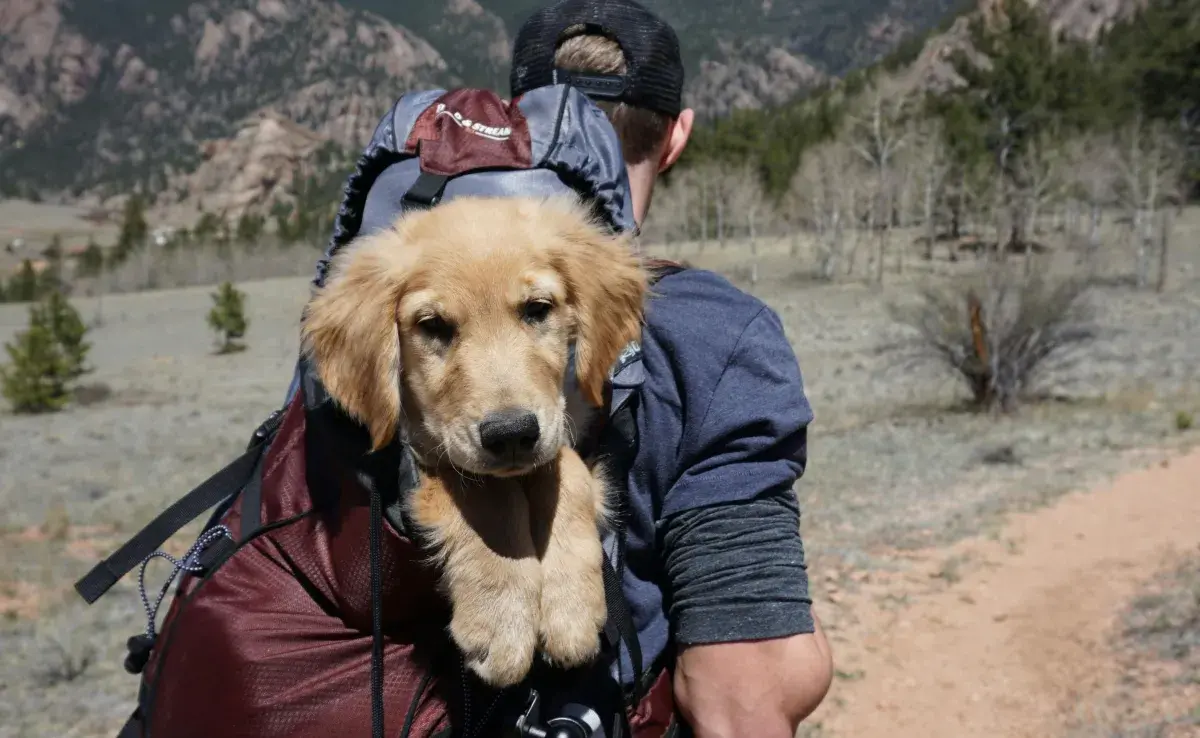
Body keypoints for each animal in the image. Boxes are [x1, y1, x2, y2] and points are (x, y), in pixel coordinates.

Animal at [297, 194, 648, 686]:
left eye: (537, 309)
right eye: (433, 325)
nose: (512, 434)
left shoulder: (557, 426)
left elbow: (566, 471)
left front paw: (570, 604)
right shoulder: (424, 454)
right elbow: (486, 493)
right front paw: (502, 616)